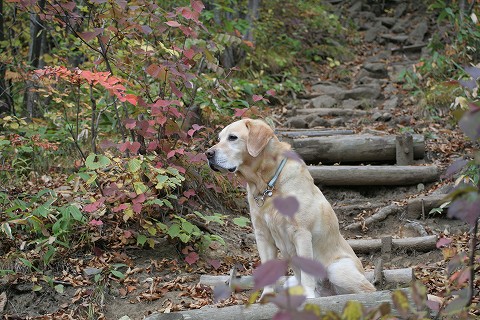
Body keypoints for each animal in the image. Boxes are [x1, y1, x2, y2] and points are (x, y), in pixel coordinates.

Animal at [206, 119, 376, 298]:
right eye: (219, 138)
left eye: (233, 137)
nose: (208, 153)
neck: (267, 184)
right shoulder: (263, 235)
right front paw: (266, 296)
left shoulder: (301, 233)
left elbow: (307, 274)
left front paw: (308, 296)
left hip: (336, 269)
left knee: (368, 290)